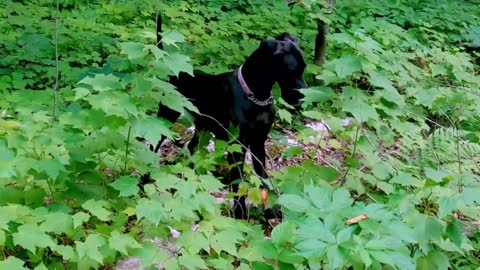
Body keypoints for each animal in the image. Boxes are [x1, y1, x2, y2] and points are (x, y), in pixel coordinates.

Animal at [155, 31, 308, 219]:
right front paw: (240, 215)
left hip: (202, 127)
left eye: (304, 67)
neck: (256, 96)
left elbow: (263, 178)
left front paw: (271, 210)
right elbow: (238, 182)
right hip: (166, 118)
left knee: (191, 147)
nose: (302, 101)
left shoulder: (258, 143)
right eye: (291, 69)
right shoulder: (237, 146)